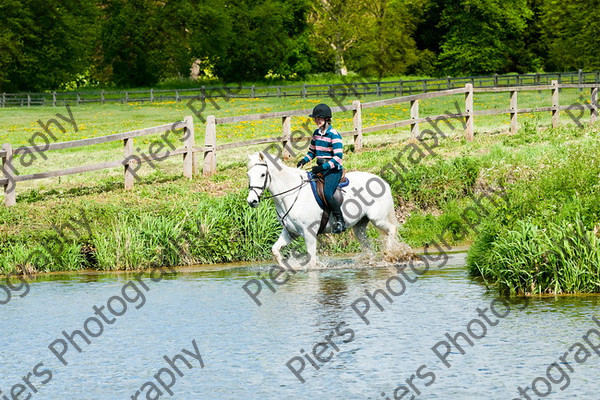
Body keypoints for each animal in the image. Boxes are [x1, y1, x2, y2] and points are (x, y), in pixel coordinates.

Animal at [246, 153, 406, 268]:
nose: (252, 201)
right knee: (367, 245)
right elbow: (275, 250)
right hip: (359, 225)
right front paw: (285, 267)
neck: (291, 194)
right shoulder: (290, 232)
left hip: (377, 219)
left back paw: (389, 254)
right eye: (248, 175)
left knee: (392, 229)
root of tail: (382, 181)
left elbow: (311, 260)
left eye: (262, 174)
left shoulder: (309, 233)